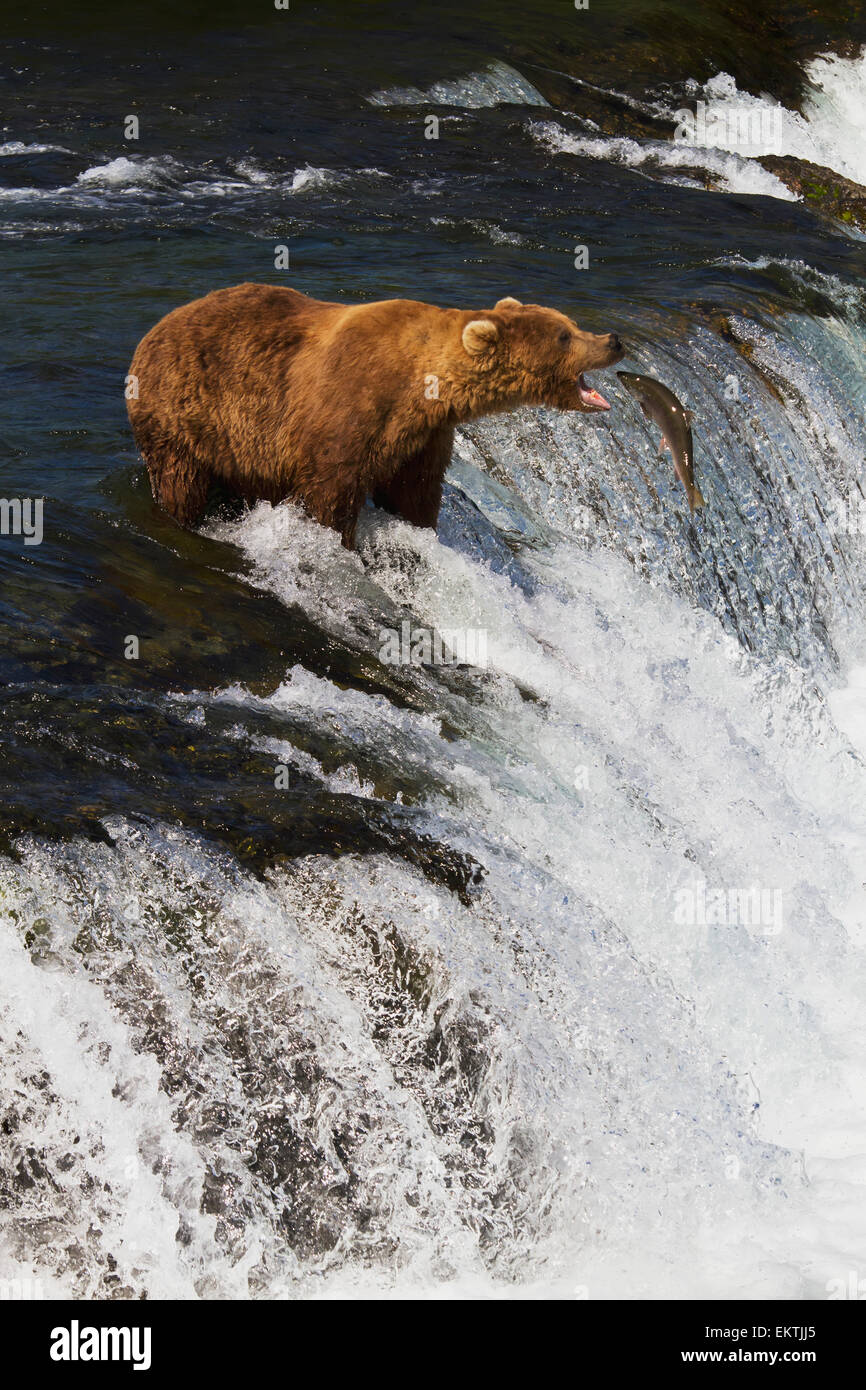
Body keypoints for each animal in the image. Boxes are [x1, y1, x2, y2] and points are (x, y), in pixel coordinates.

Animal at [127, 282, 622, 547]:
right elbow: (330, 492)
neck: (422, 386)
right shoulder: (350, 409)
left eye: (570, 324)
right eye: (564, 336)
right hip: (185, 416)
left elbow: (414, 492)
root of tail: (151, 333)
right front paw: (340, 545)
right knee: (180, 483)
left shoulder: (423, 436)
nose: (612, 339)